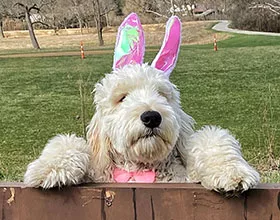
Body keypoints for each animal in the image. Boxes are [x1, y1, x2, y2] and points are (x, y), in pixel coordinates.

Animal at [24, 13, 260, 194]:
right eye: (122, 97)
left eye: (162, 95)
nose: (151, 117)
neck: (139, 171)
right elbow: (69, 143)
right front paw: (46, 170)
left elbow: (212, 139)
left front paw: (232, 173)